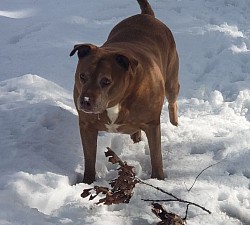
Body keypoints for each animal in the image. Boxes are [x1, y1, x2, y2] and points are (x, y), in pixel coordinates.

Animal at [70, 0, 180, 184]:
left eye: (106, 81)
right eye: (82, 76)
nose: (84, 101)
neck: (117, 102)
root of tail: (147, 15)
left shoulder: (152, 124)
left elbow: (156, 156)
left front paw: (158, 179)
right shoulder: (87, 125)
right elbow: (89, 157)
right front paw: (87, 181)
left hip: (171, 79)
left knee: (173, 99)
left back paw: (175, 124)